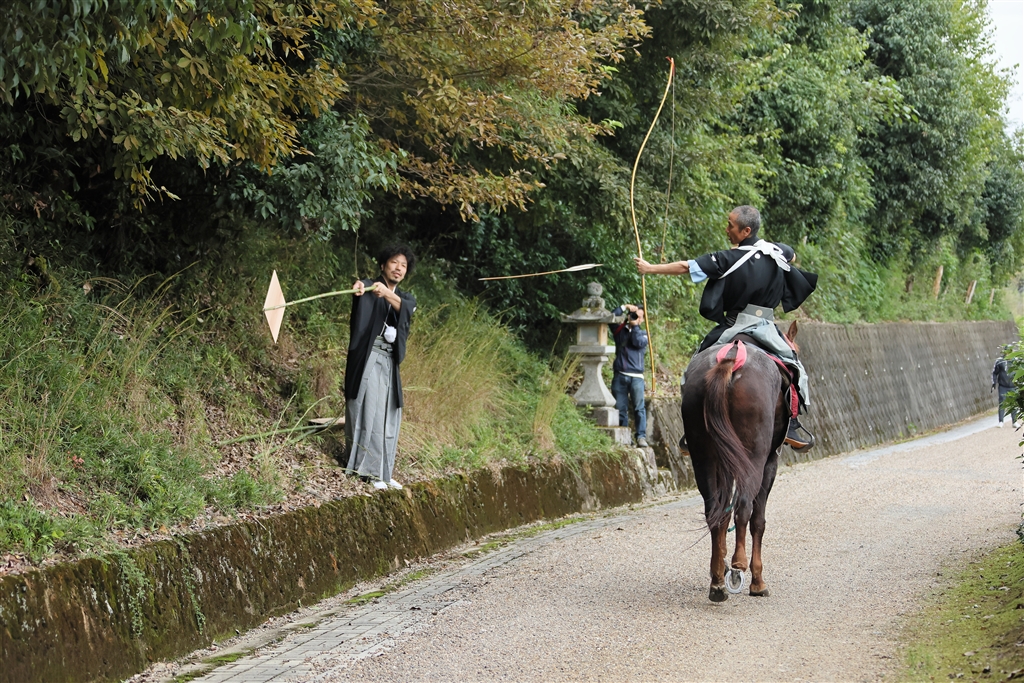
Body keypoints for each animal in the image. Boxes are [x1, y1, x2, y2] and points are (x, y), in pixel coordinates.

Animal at [680, 322, 798, 602]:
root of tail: (731, 359)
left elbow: (723, 513)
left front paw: (721, 566)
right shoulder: (770, 462)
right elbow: (758, 520)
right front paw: (756, 580)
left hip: (704, 456)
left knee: (714, 511)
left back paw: (717, 582)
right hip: (753, 456)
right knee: (743, 507)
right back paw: (739, 566)